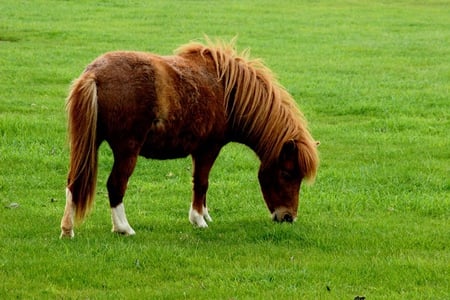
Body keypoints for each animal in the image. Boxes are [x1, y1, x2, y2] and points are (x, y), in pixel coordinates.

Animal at [60, 39, 320, 238]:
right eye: (286, 173)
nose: (288, 217)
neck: (227, 91)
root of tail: (94, 74)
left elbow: (201, 185)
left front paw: (204, 214)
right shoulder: (209, 149)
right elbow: (202, 182)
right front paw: (198, 220)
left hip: (89, 145)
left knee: (74, 182)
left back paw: (68, 229)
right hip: (127, 151)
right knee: (115, 185)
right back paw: (124, 228)